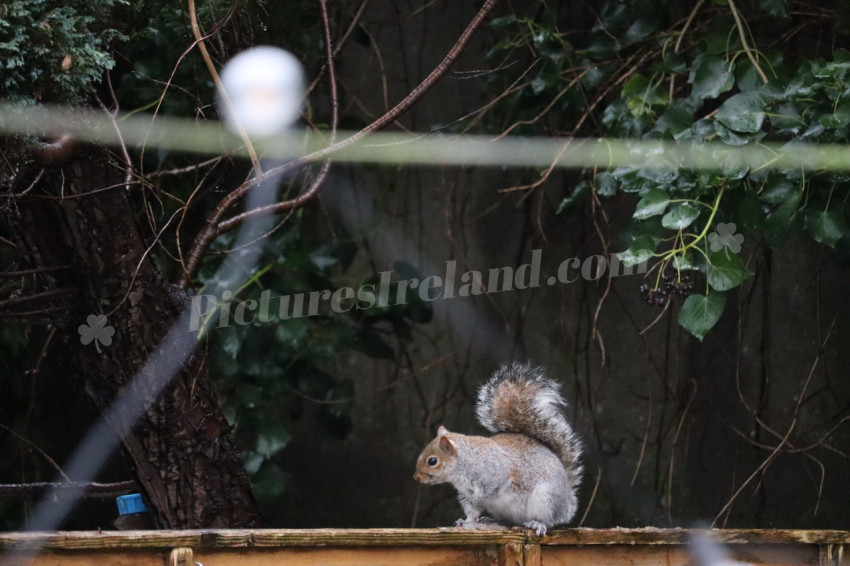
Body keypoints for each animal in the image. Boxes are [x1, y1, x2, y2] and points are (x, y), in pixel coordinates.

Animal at [412, 364, 584, 536]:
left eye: (432, 461)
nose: (416, 478)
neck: (465, 462)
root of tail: (568, 500)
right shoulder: (465, 492)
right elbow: (471, 510)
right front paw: (465, 520)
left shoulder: (493, 474)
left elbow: (482, 497)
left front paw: (473, 511)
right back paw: (493, 520)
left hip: (547, 498)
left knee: (549, 519)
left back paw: (538, 524)